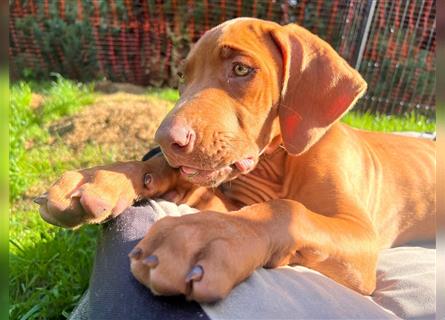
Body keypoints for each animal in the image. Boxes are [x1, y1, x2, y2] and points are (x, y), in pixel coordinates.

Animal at [37, 18, 434, 302]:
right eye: (183, 77)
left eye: (241, 70)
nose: (165, 140)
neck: (275, 163)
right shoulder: (220, 195)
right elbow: (171, 175)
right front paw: (102, 178)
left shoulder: (361, 238)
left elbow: (288, 210)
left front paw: (206, 236)